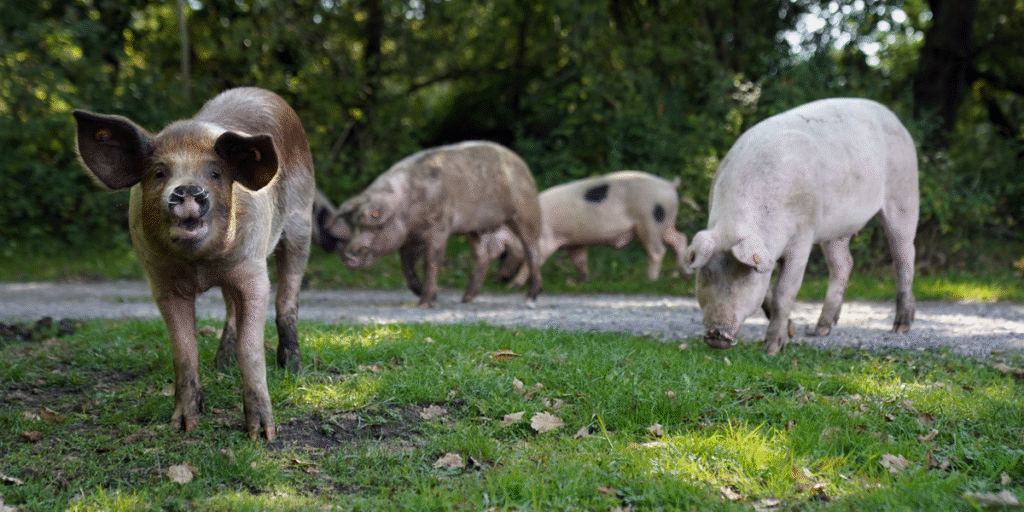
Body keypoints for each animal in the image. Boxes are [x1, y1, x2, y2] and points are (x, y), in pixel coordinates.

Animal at [73, 87, 315, 440]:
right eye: (159, 173)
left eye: (215, 173)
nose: (187, 188)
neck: (199, 265)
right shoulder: (161, 281)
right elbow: (184, 351)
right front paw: (184, 426)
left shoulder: (252, 270)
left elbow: (251, 350)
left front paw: (262, 434)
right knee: (230, 311)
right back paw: (221, 366)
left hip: (301, 222)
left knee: (288, 298)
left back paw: (293, 369)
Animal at [326, 141, 543, 307]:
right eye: (354, 225)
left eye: (375, 226)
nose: (349, 257)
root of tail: (522, 165)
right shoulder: (410, 237)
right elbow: (406, 264)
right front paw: (427, 296)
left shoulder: (440, 226)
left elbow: (431, 261)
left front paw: (425, 304)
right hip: (475, 228)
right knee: (485, 254)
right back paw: (465, 299)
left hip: (526, 211)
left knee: (532, 249)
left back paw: (530, 298)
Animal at [498, 171, 691, 285]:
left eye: (504, 253)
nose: (498, 278)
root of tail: (669, 185)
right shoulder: (573, 242)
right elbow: (579, 260)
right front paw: (584, 281)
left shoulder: (545, 240)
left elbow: (534, 262)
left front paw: (514, 285)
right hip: (665, 224)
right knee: (680, 239)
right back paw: (684, 274)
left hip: (649, 223)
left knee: (657, 251)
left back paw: (649, 281)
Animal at [686, 97, 919, 355]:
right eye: (706, 273)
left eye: (745, 276)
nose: (717, 334)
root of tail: (893, 117)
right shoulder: (767, 255)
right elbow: (768, 292)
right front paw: (792, 331)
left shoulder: (802, 235)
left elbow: (784, 292)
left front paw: (772, 349)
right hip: (834, 231)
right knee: (844, 264)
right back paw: (820, 330)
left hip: (904, 193)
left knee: (904, 255)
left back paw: (900, 327)